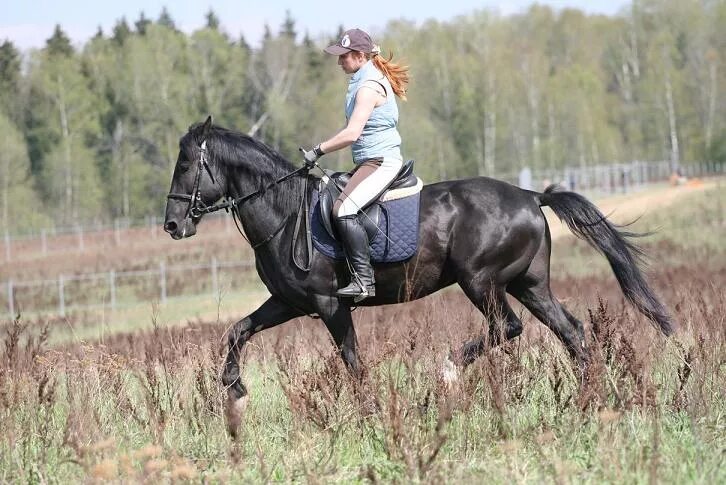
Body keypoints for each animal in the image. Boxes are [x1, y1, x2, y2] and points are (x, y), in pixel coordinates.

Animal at [164, 118, 672, 434]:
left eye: (186, 165)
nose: (172, 225)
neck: (286, 214)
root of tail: (530, 196)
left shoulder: (330, 305)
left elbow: (352, 361)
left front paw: (369, 416)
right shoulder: (289, 302)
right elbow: (236, 332)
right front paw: (235, 391)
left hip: (480, 281)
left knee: (507, 327)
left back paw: (448, 370)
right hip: (529, 285)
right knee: (572, 332)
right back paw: (591, 400)